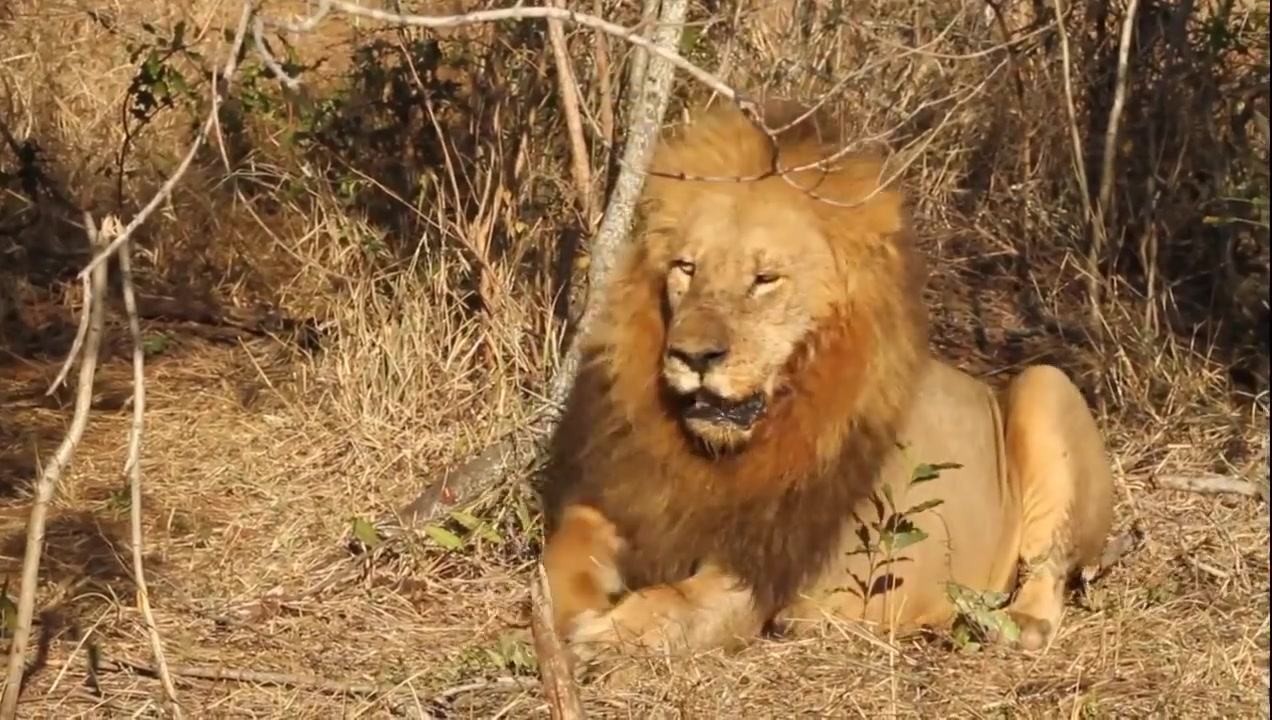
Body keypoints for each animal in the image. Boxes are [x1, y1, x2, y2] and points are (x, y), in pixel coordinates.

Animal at [536, 98, 1114, 661]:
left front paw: (602, 634)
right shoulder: (620, 503)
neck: (722, 457)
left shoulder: (761, 570)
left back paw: (1017, 626)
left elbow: (677, 607)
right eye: (686, 268)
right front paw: (559, 615)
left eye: (765, 279)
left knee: (1048, 568)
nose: (691, 355)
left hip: (1044, 384)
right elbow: (562, 555)